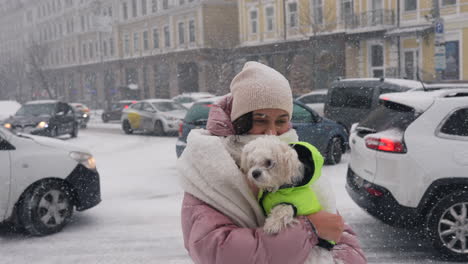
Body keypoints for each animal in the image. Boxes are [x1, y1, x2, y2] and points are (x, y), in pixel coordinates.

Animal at [239, 136, 342, 264]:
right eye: (252, 162)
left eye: (269, 162)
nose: (254, 173)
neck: (278, 188)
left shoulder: (295, 203)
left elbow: (283, 209)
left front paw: (272, 225)